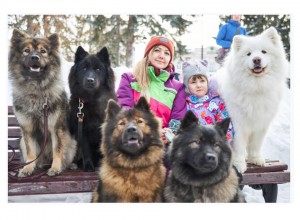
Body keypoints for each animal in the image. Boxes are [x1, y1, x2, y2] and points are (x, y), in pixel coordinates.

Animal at [9, 29, 76, 177]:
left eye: (43, 51)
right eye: (26, 51)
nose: (35, 57)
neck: (36, 89)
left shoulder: (55, 128)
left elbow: (57, 150)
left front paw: (56, 168)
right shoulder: (27, 129)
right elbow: (31, 152)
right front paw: (28, 168)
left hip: (72, 141)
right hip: (21, 141)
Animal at [217, 26, 290, 173]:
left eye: (264, 52)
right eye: (248, 54)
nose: (256, 59)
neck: (256, 87)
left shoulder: (262, 123)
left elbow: (256, 144)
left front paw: (256, 159)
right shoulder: (238, 123)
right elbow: (239, 145)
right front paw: (239, 164)